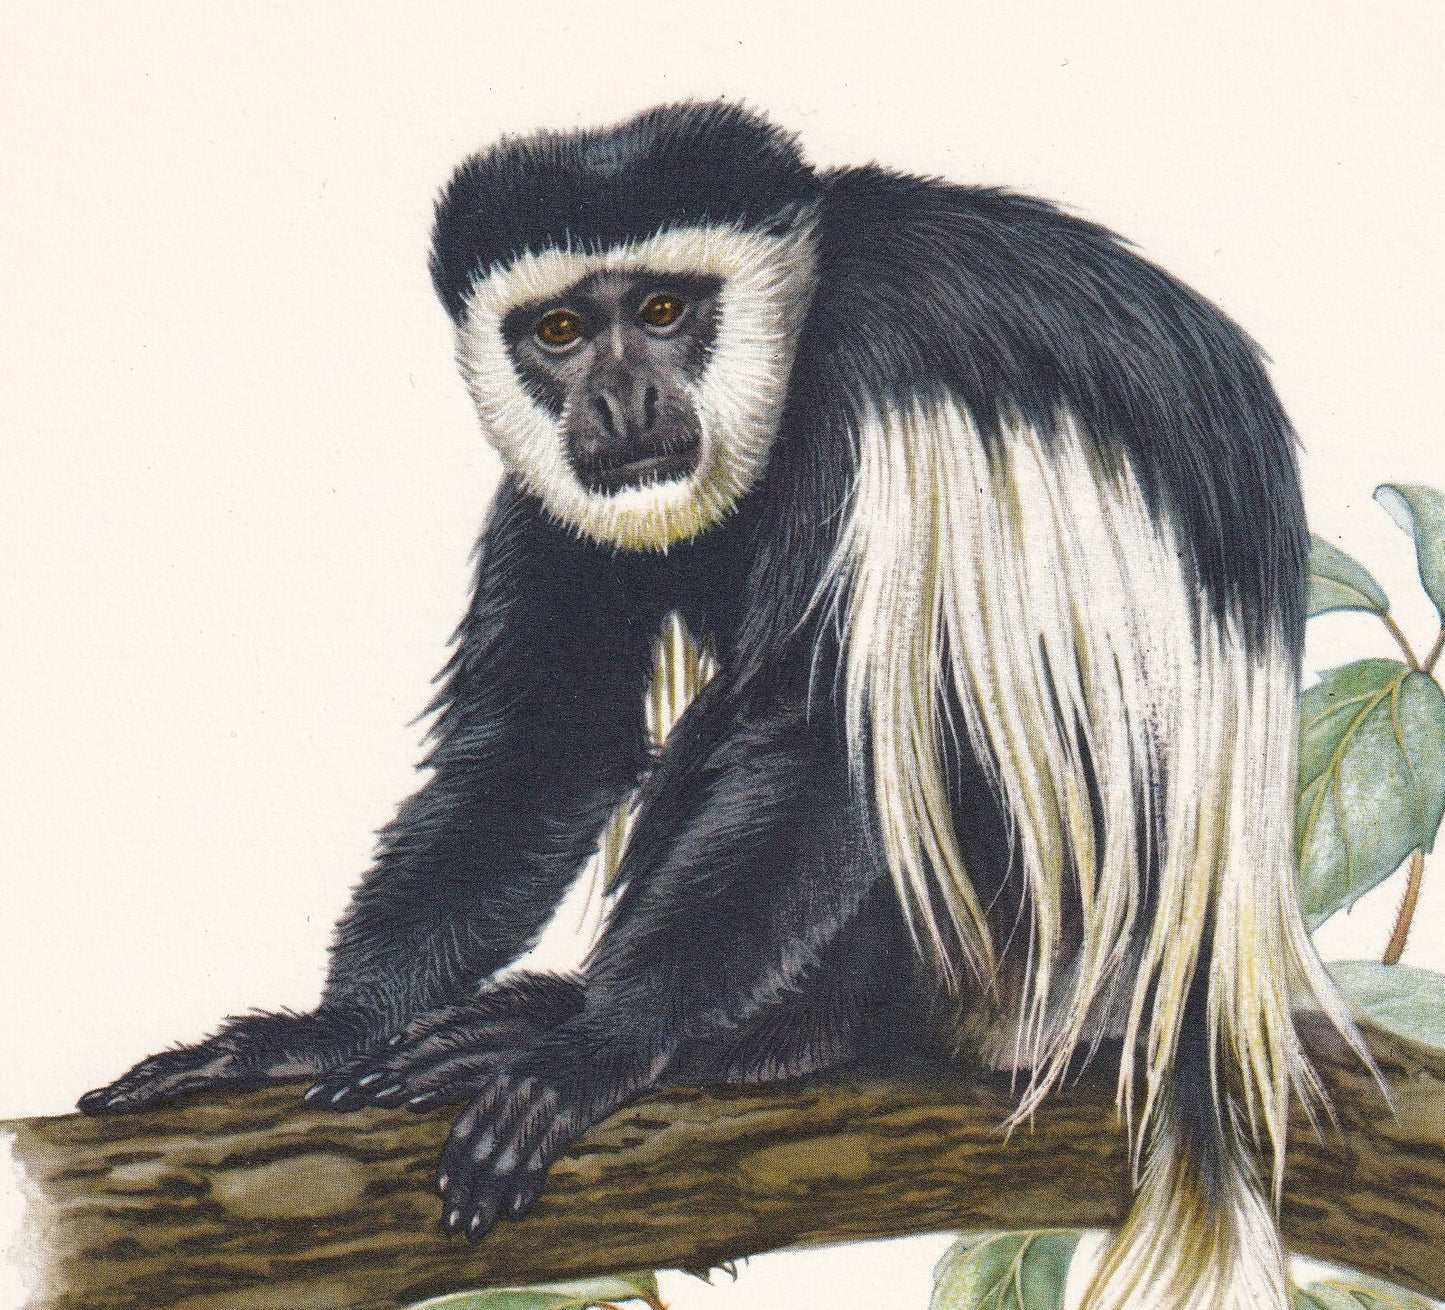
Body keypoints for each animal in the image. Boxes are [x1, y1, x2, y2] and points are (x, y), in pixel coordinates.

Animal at [80, 102, 1366, 1310]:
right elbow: (550, 742)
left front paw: (593, 1046)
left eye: (661, 311)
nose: (619, 398)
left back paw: (703, 1037)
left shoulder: (868, 398)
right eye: (558, 331)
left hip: (1022, 934)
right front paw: (318, 1030)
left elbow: (828, 749)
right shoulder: (556, 486)